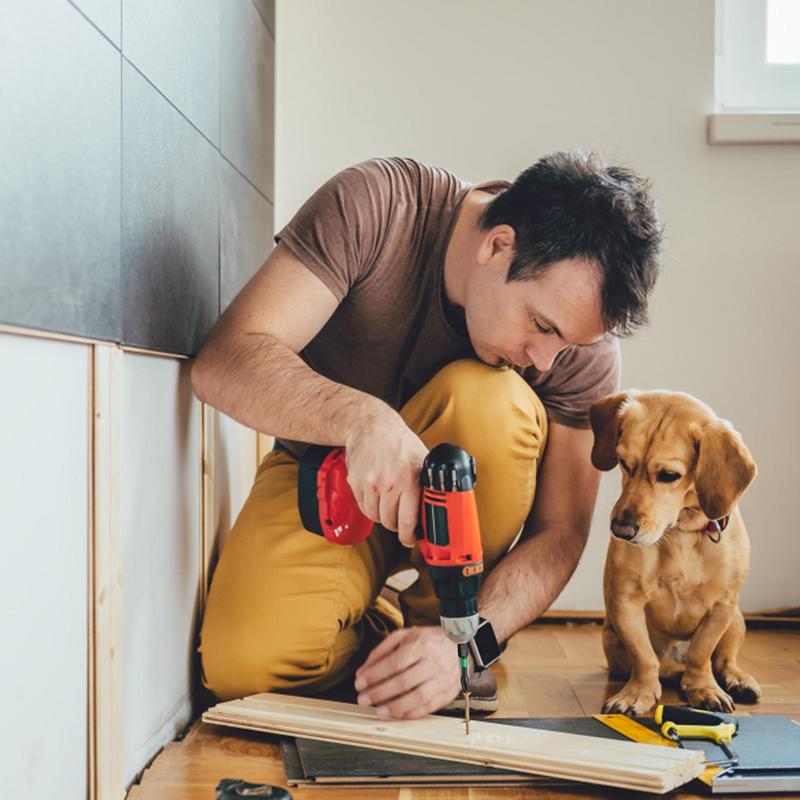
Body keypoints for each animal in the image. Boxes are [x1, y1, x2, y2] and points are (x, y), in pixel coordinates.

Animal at [592, 392, 760, 712]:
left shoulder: (722, 606)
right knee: (664, 666)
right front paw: (639, 693)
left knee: (724, 660)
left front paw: (702, 688)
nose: (621, 529)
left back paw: (737, 680)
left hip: (736, 620)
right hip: (613, 644)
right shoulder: (625, 603)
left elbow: (701, 653)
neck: (681, 531)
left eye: (669, 475)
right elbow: (645, 658)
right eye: (624, 463)